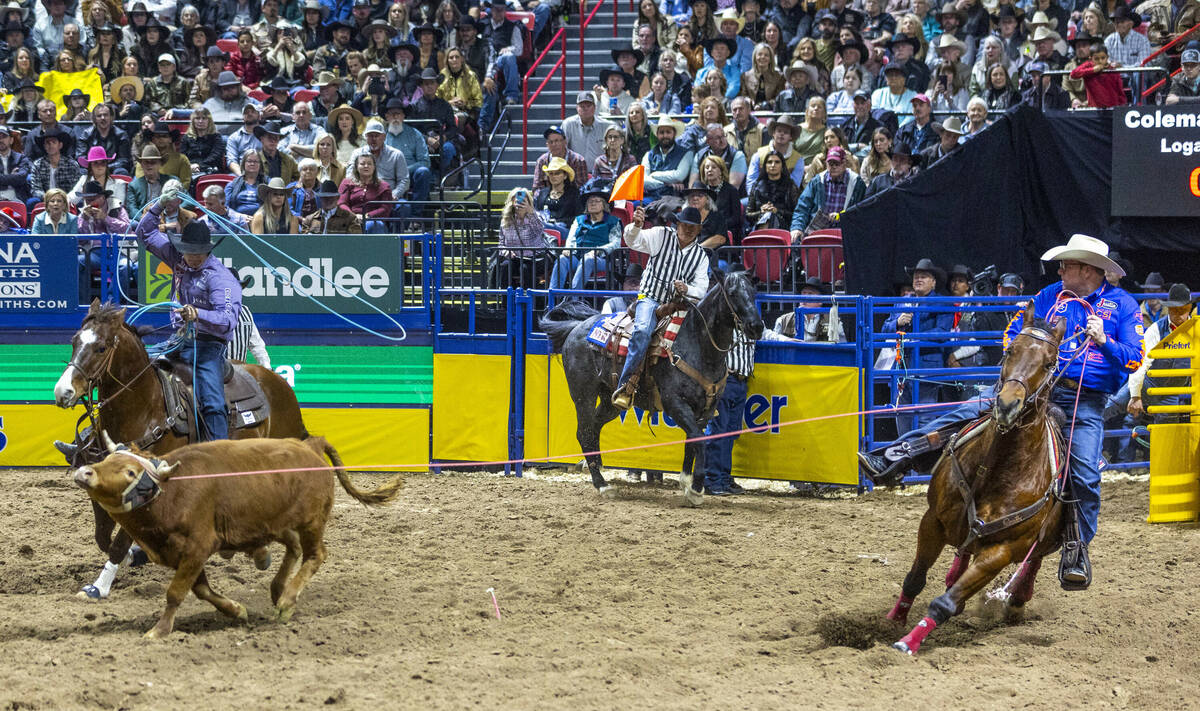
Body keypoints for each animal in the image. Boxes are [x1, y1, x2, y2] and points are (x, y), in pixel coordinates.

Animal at [53, 300, 307, 600]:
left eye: (101, 347)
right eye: (74, 341)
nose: (63, 392)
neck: (146, 408)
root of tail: (277, 381)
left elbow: (117, 543)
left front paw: (98, 587)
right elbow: (103, 538)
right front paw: (135, 555)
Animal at [75, 432, 403, 638]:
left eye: (130, 472)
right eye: (105, 460)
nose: (85, 472)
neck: (171, 492)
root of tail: (310, 445)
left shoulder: (198, 547)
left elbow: (176, 593)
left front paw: (159, 631)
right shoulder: (185, 554)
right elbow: (202, 590)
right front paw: (237, 611)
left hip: (312, 520)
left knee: (315, 554)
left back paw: (287, 602)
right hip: (274, 523)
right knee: (294, 548)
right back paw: (278, 588)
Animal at [540, 267, 763, 504]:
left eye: (753, 292)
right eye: (732, 293)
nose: (757, 327)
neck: (698, 345)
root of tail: (576, 328)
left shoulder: (706, 408)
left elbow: (692, 440)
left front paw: (686, 482)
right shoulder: (674, 403)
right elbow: (699, 440)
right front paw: (696, 488)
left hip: (610, 400)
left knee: (594, 427)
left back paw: (594, 466)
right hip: (583, 393)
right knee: (583, 432)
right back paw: (602, 485)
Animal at [883, 305, 1070, 653]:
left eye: (1050, 363)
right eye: (1010, 350)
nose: (1007, 405)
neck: (995, 469)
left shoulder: (1002, 551)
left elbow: (944, 603)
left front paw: (907, 643)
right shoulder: (933, 521)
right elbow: (915, 579)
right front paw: (891, 622)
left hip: (1042, 541)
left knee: (1032, 563)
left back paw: (1016, 599)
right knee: (963, 554)